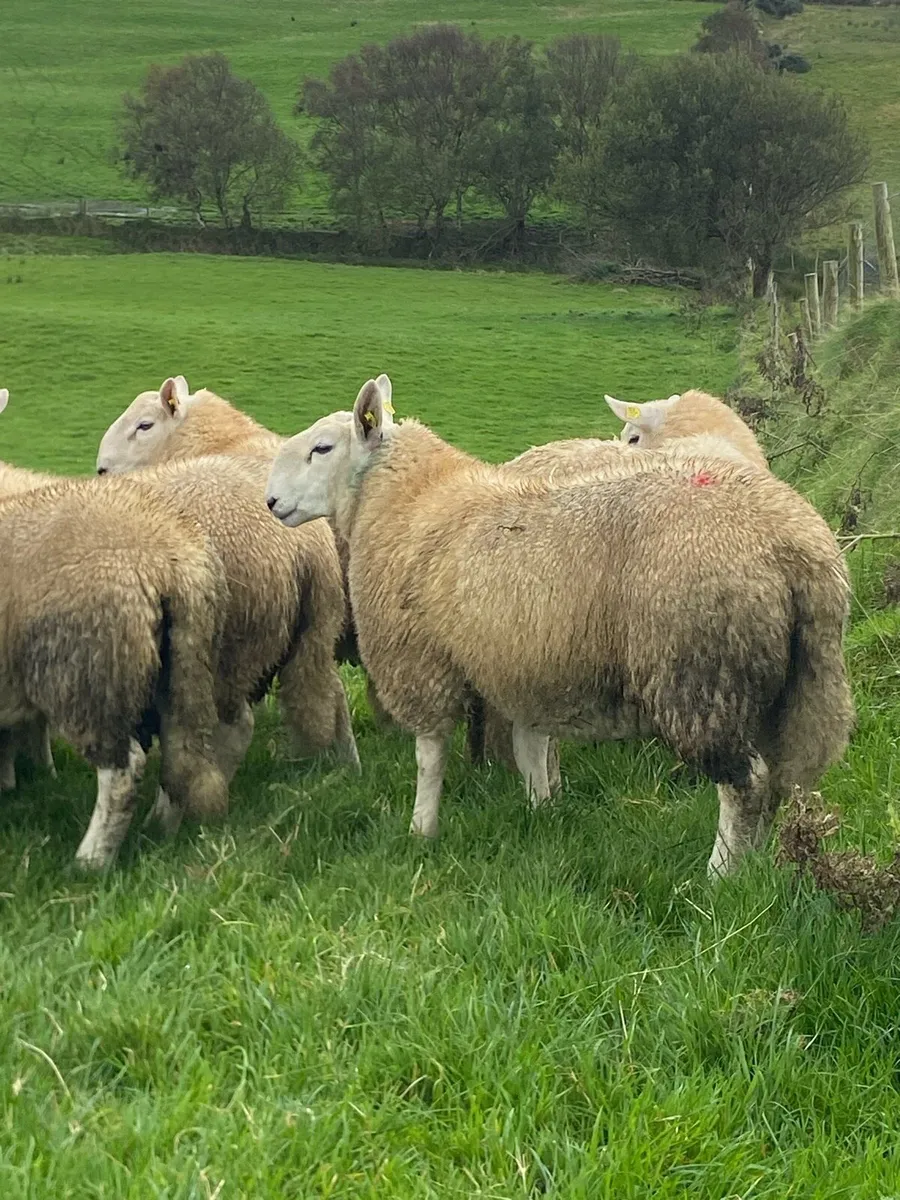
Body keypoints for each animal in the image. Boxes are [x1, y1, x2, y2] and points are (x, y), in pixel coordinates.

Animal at [0, 476, 229, 867]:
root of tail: (173, 558)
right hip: (183, 663)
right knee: (180, 757)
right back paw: (159, 832)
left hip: (89, 671)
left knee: (123, 772)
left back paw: (90, 862)